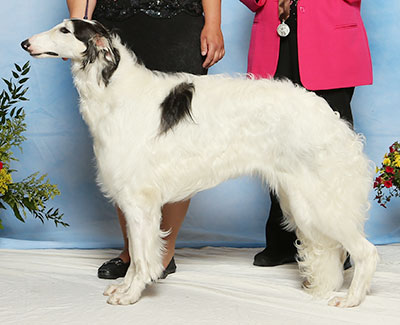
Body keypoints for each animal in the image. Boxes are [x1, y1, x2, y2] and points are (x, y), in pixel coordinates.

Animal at [21, 19, 378, 308]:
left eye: (65, 31)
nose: (25, 43)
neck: (115, 89)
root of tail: (330, 117)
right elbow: (135, 257)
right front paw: (124, 287)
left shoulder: (139, 200)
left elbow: (141, 257)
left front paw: (130, 294)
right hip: (300, 200)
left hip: (320, 203)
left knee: (366, 251)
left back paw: (351, 299)